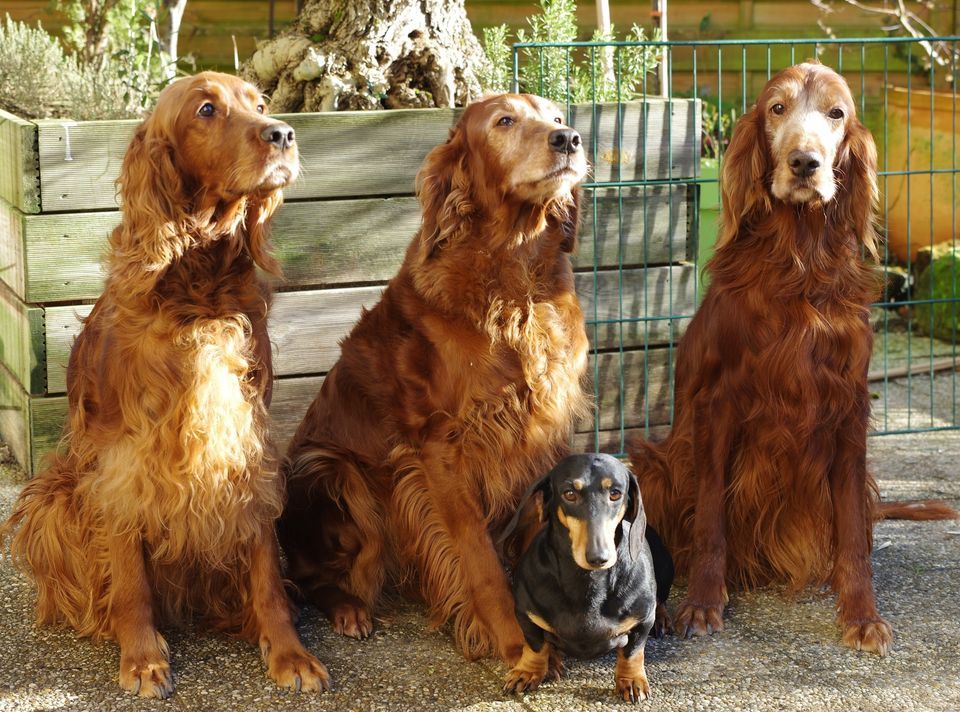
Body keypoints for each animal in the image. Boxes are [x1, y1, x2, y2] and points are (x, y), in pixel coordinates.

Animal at [0, 71, 330, 696]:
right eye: (206, 110)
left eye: (259, 103)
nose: (283, 134)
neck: (198, 290)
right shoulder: (123, 462)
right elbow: (129, 575)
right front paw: (142, 657)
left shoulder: (246, 444)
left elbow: (265, 568)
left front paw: (288, 651)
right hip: (54, 499)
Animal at [278, 92, 588, 664]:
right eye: (504, 121)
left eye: (557, 117)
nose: (570, 139)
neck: (514, 280)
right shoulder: (442, 448)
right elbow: (479, 557)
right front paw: (514, 644)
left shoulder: (548, 423)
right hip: (328, 469)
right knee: (310, 577)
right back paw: (349, 608)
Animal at [632, 61, 952, 656]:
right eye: (777, 108)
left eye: (837, 113)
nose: (805, 162)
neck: (799, 264)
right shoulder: (719, 406)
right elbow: (710, 517)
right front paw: (703, 603)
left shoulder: (848, 408)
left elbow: (851, 534)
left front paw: (861, 615)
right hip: (655, 464)